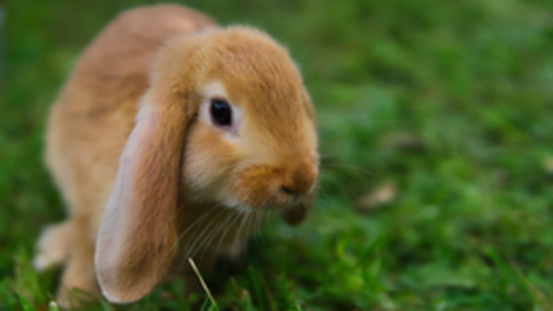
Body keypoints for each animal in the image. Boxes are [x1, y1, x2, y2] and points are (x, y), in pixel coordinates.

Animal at [33, 3, 320, 308]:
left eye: (299, 100)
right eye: (220, 111)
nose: (300, 181)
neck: (207, 203)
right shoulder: (87, 207)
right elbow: (84, 255)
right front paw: (70, 300)